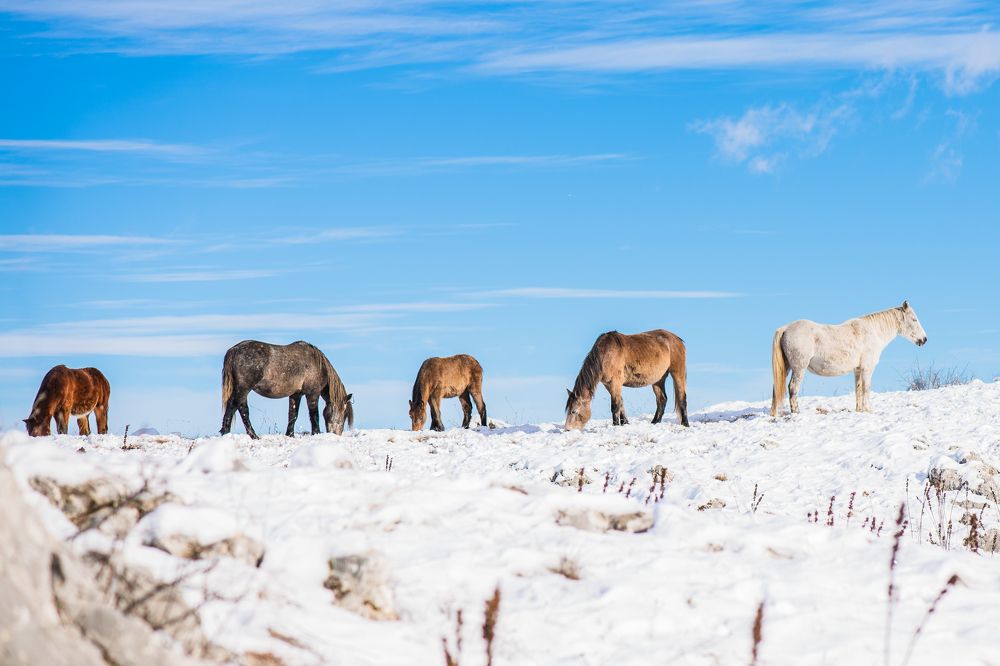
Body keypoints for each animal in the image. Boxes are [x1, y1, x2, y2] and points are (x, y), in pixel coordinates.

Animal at [220, 340, 352, 439]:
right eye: (344, 414)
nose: (337, 434)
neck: (318, 365)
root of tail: (233, 351)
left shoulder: (296, 394)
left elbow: (293, 414)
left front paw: (290, 434)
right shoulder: (313, 393)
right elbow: (314, 414)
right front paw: (316, 433)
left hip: (241, 390)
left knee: (239, 408)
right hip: (243, 388)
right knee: (237, 407)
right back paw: (239, 434)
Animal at [771, 300, 927, 416]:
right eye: (914, 319)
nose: (924, 339)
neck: (872, 332)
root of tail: (785, 328)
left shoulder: (857, 370)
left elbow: (858, 389)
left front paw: (860, 410)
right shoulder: (867, 369)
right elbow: (866, 389)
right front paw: (868, 410)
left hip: (787, 367)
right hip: (799, 368)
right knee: (792, 388)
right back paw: (796, 412)